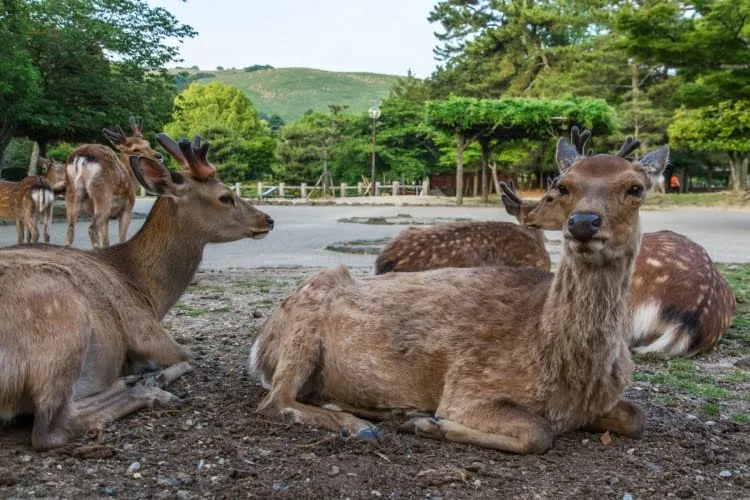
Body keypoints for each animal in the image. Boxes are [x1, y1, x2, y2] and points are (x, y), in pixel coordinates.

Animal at [0, 133, 274, 450]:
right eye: (225, 196)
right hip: (63, 323)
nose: (267, 219)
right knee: (50, 427)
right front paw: (154, 376)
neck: (147, 291)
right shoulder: (147, 331)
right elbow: (190, 356)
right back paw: (148, 390)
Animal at [64, 116, 163, 248]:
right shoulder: (127, 208)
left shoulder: (106, 216)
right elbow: (122, 238)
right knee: (92, 229)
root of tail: (80, 158)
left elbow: (106, 241)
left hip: (71, 194)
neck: (132, 181)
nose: (159, 156)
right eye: (135, 150)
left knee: (70, 231)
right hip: (102, 193)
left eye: (148, 143)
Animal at [247, 131, 669, 454]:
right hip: (302, 327)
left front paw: (419, 420)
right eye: (562, 186)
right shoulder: (468, 385)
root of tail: (259, 348)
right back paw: (362, 425)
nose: (583, 222)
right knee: (275, 402)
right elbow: (538, 432)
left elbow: (638, 417)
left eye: (635, 188)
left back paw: (390, 412)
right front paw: (431, 426)